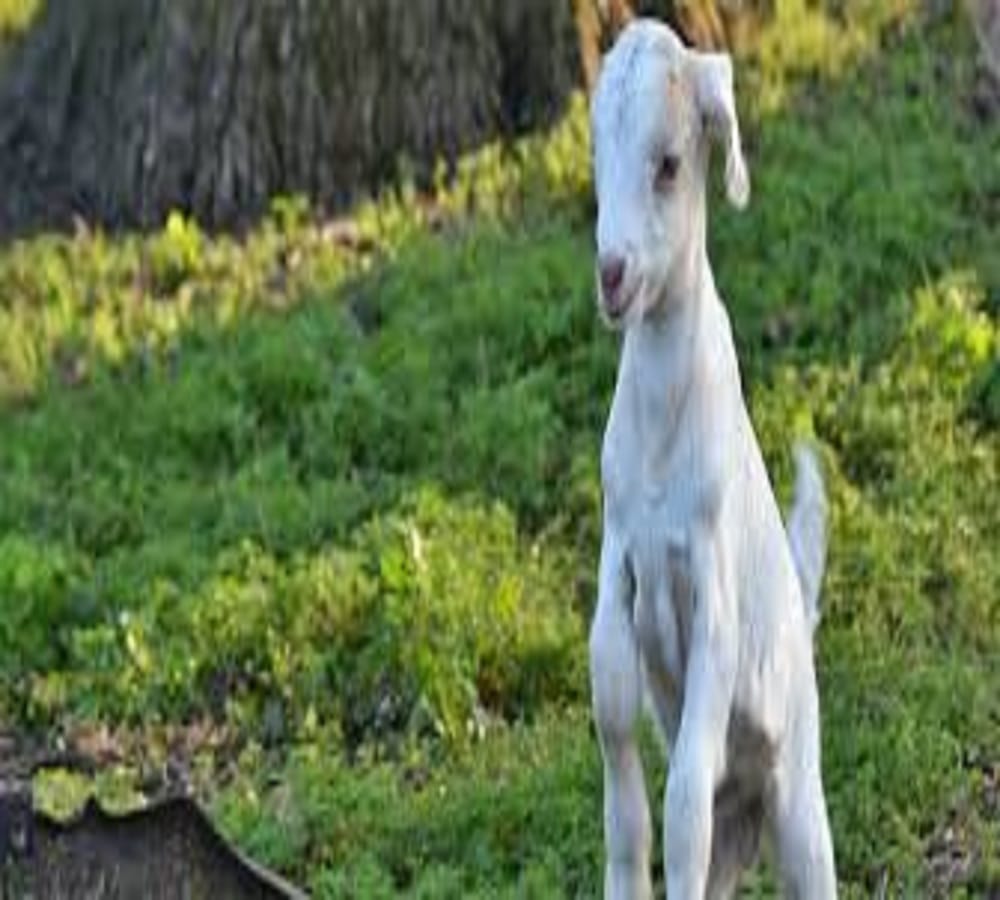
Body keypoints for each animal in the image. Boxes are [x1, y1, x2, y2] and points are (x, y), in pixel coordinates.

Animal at [588, 19, 837, 899]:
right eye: (596, 154)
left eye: (669, 162)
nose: (613, 275)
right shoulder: (619, 564)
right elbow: (614, 725)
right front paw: (626, 872)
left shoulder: (714, 602)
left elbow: (686, 793)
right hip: (742, 832)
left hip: (800, 804)